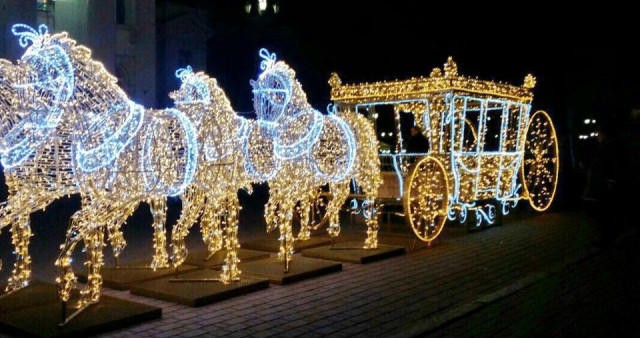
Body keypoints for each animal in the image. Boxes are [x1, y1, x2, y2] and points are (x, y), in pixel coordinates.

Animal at [245, 49, 380, 270]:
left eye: (271, 97)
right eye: (255, 100)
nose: (263, 129)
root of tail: (363, 121)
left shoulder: (294, 182)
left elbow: (288, 211)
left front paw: (287, 252)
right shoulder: (282, 182)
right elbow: (273, 206)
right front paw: (278, 239)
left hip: (364, 171)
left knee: (370, 198)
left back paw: (370, 241)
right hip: (339, 175)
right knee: (340, 195)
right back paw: (332, 228)